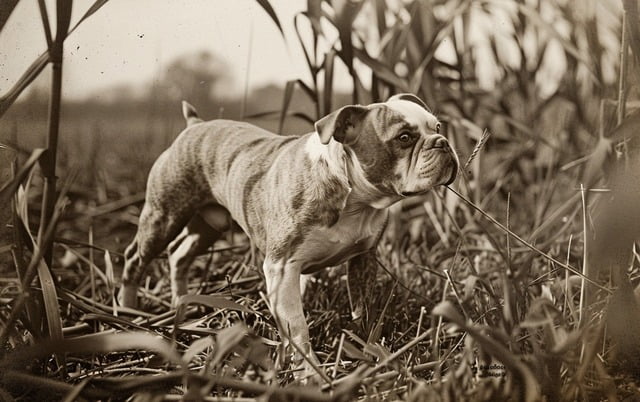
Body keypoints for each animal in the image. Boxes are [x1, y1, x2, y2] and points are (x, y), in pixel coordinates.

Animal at [119, 93, 460, 380]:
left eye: (437, 127)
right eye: (404, 138)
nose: (443, 141)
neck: (355, 200)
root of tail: (195, 125)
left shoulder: (363, 259)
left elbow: (363, 310)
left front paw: (367, 349)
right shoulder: (282, 269)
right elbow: (297, 327)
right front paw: (309, 375)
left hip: (210, 224)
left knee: (180, 253)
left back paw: (181, 304)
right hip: (164, 216)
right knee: (136, 257)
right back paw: (127, 311)